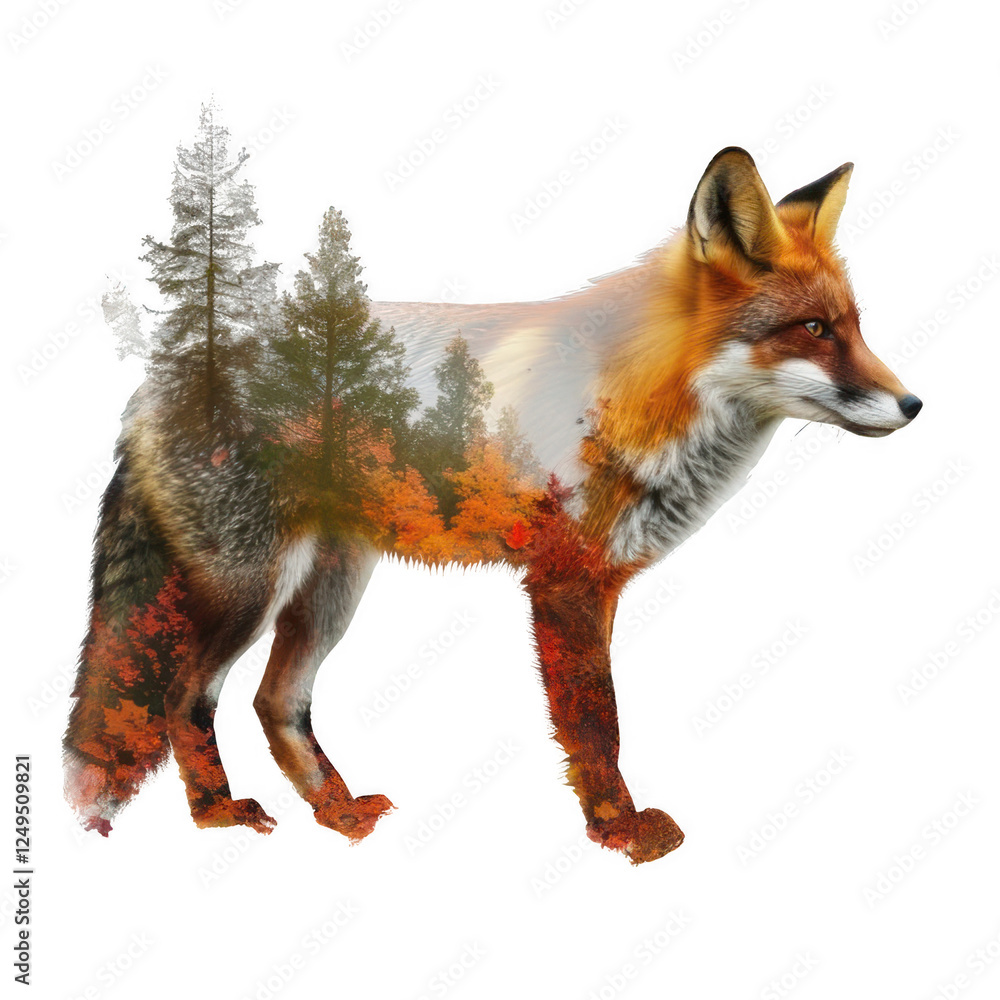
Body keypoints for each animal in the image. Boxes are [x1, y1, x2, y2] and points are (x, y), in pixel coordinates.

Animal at [64, 147, 921, 864]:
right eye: (812, 329)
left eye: (853, 327)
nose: (914, 405)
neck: (643, 398)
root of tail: (164, 376)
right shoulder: (564, 581)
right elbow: (598, 725)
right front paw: (619, 831)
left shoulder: (598, 580)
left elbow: (595, 724)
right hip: (248, 589)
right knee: (182, 698)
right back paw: (218, 816)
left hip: (333, 588)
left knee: (276, 702)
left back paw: (337, 813)